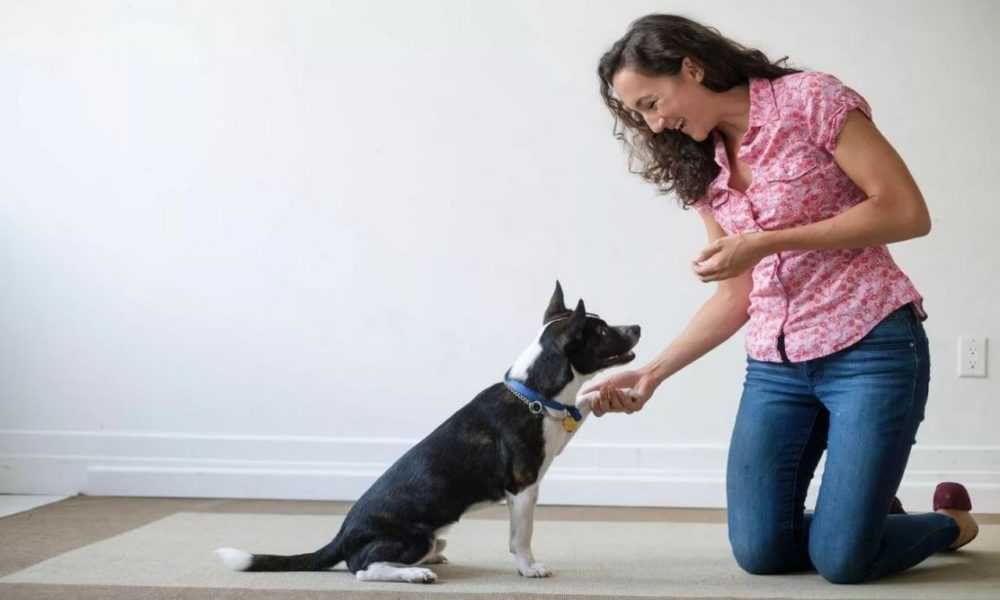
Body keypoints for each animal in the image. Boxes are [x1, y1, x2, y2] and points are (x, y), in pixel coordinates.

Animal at [217, 284, 640, 584]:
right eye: (602, 331)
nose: (637, 326)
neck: (533, 394)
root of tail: (342, 535)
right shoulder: (523, 486)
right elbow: (521, 537)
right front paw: (529, 568)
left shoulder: (556, 424)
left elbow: (581, 403)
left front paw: (608, 393)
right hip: (414, 535)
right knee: (363, 569)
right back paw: (414, 572)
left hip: (428, 535)